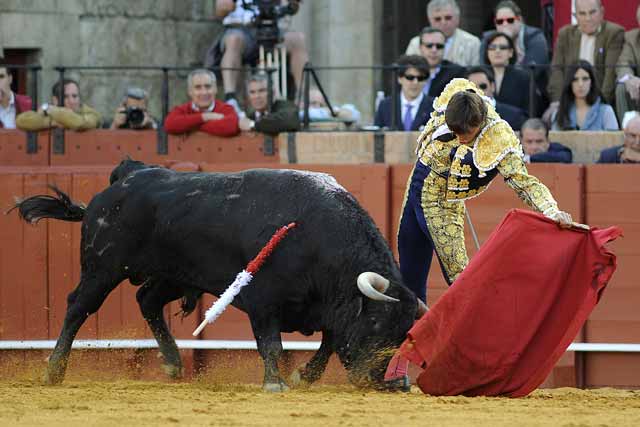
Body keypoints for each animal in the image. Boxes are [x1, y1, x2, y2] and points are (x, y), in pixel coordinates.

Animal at [13, 160, 420, 392]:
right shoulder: (263, 301)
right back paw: (54, 372)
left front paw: (303, 376)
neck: (318, 237)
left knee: (146, 300)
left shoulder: (324, 307)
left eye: (403, 333)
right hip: (103, 268)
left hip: (173, 275)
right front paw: (275, 383)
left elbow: (330, 342)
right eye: (376, 326)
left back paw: (173, 363)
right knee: (78, 307)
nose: (386, 381)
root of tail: (127, 177)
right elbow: (272, 343)